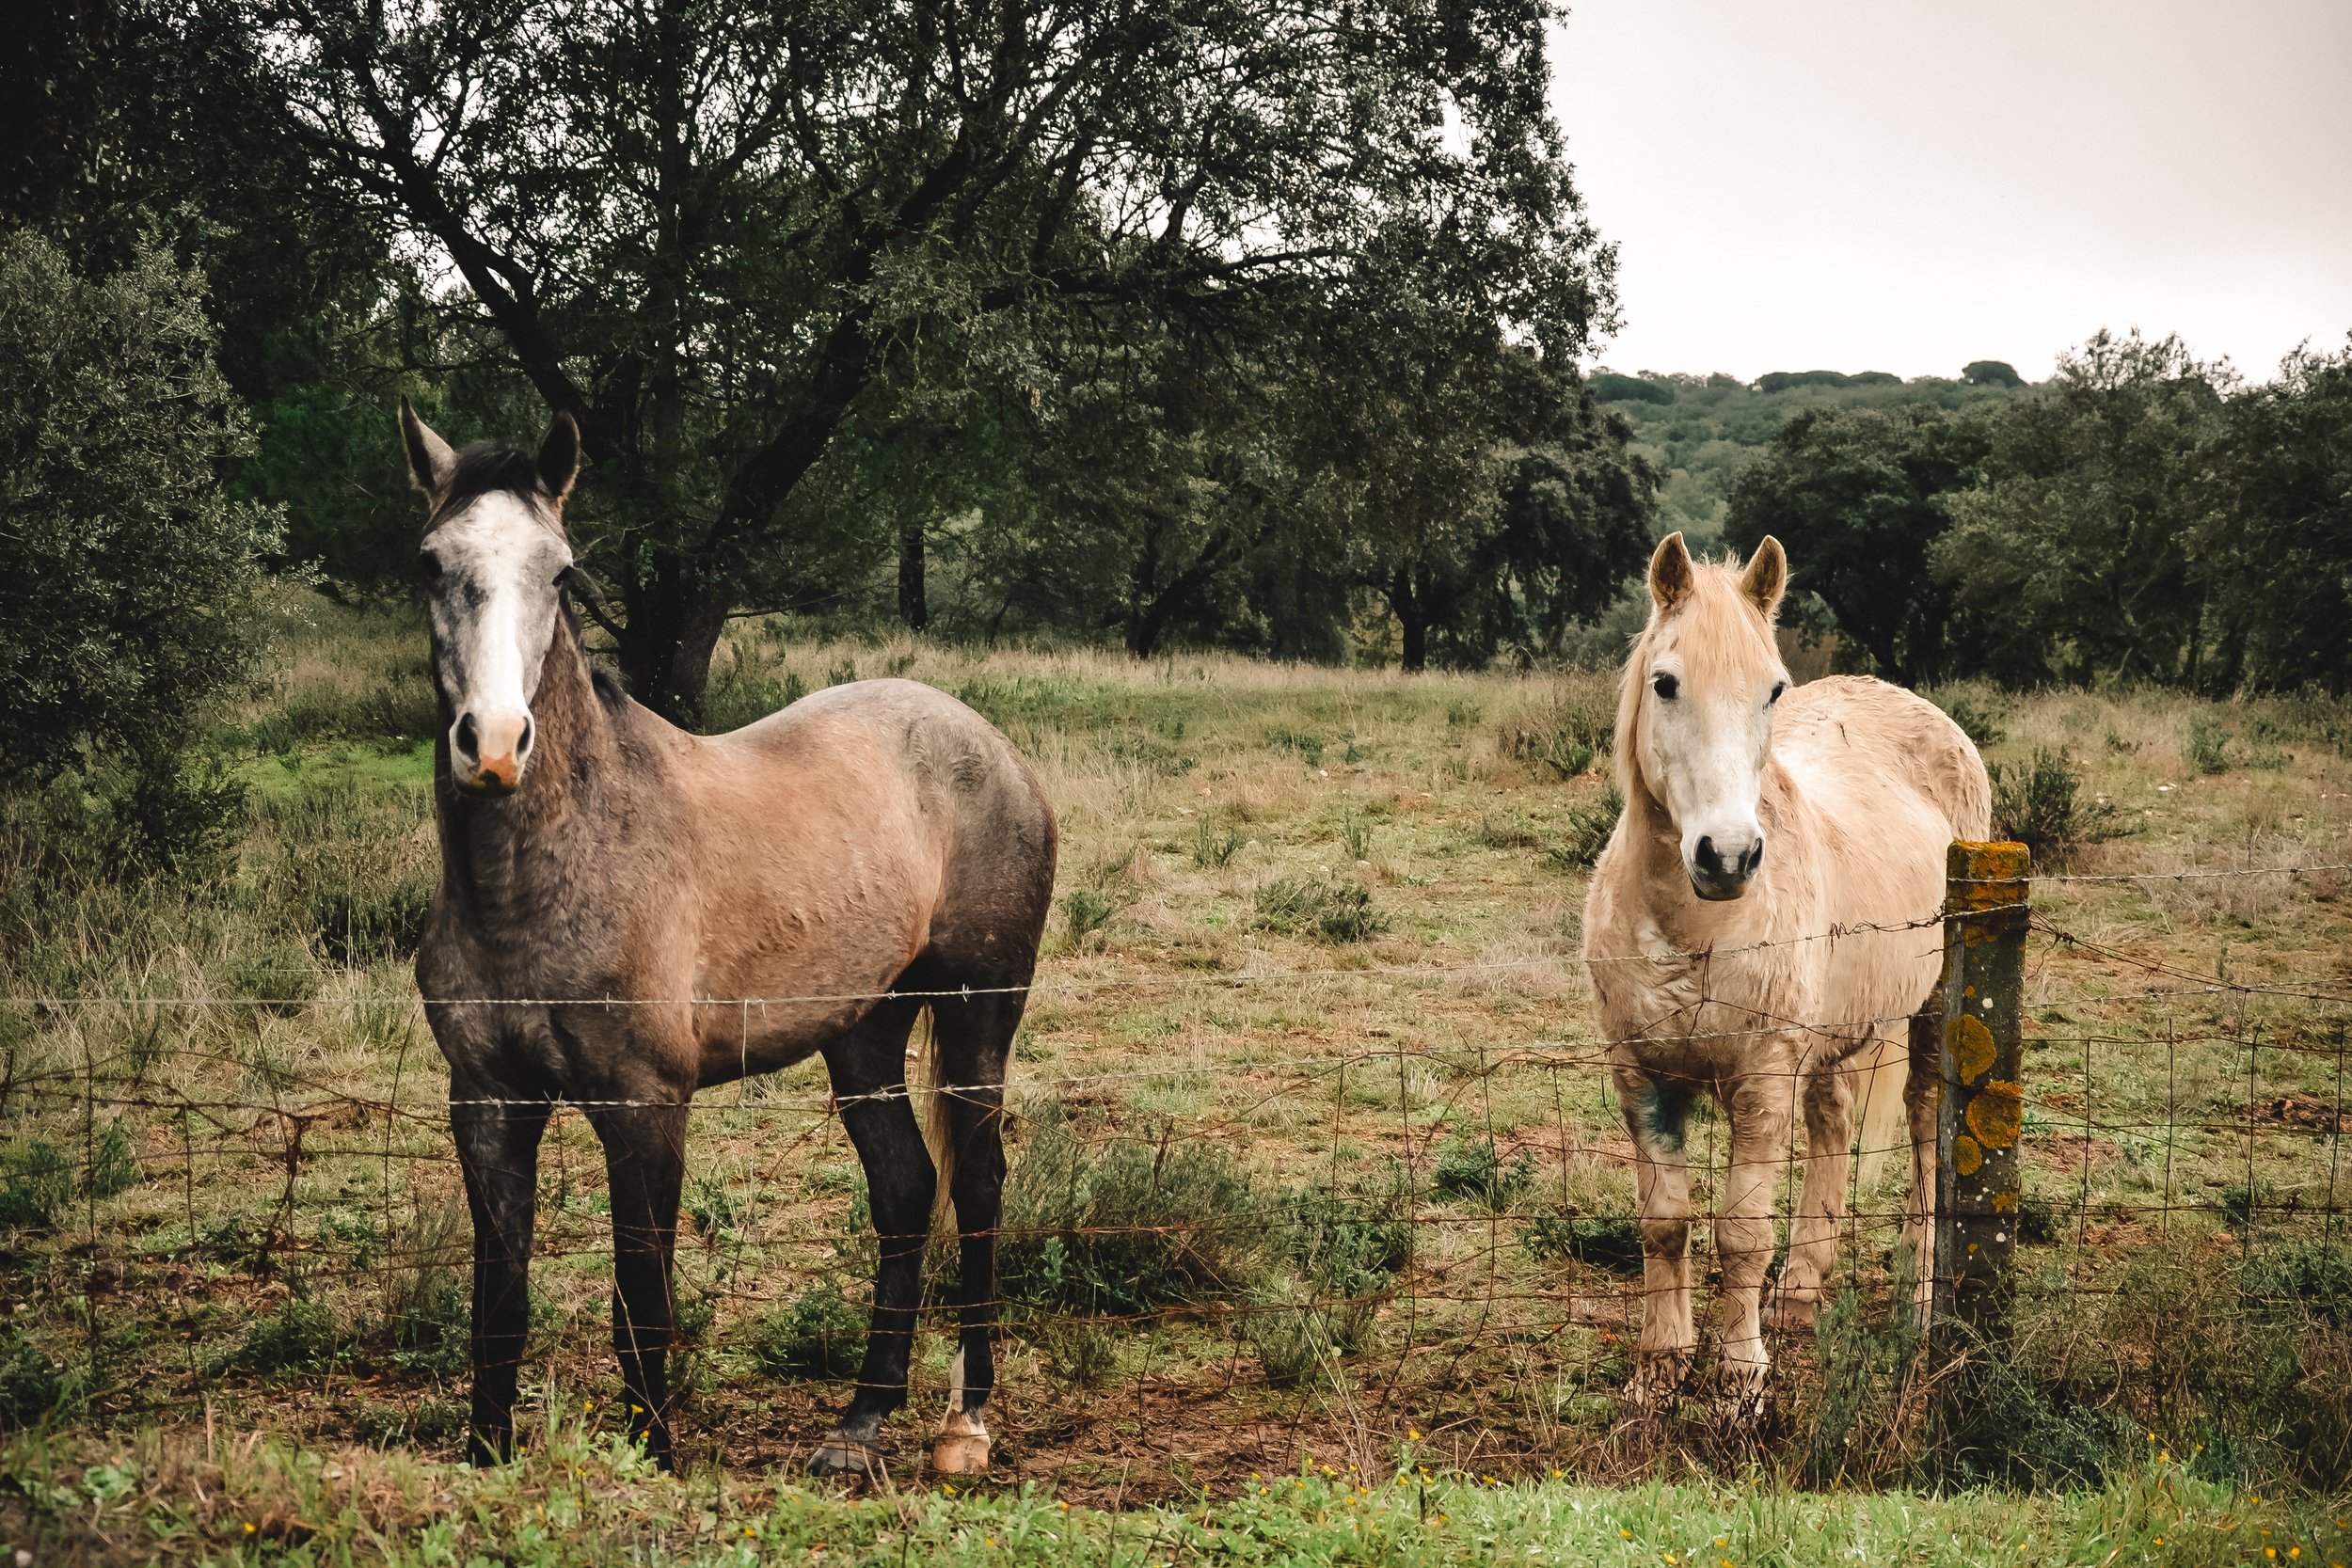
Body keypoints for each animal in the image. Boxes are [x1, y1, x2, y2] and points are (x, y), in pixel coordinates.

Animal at [397, 401, 1057, 1478]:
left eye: (562, 571)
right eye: (429, 561)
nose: (493, 744)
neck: (539, 883)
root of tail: (988, 743)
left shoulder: (644, 1106)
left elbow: (642, 1302)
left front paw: (655, 1459)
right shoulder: (488, 1104)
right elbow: (497, 1307)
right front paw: (486, 1457)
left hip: (975, 1018)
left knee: (980, 1181)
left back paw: (965, 1424)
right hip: (863, 1033)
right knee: (906, 1188)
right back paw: (861, 1419)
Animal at [1581, 532, 1988, 1421]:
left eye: (1772, 689)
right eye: (1666, 683)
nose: (1728, 856)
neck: (1694, 930)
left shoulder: (1761, 1078)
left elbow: (1741, 1232)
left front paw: (1739, 1381)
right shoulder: (1639, 1075)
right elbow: (1664, 1223)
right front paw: (1659, 1369)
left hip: (1934, 1012)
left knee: (1925, 1127)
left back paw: (1920, 1294)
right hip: (1833, 1035)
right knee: (1833, 1124)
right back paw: (1801, 1291)